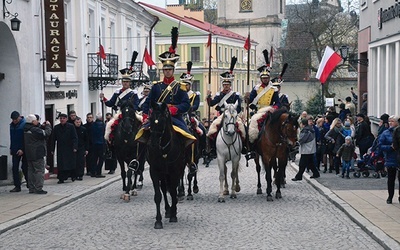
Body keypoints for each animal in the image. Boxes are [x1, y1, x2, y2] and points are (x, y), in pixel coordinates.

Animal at [147, 101, 189, 229]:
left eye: (162, 120)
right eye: (150, 119)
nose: (153, 143)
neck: (164, 149)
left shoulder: (175, 172)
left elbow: (174, 192)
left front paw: (174, 215)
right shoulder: (154, 172)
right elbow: (158, 196)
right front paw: (158, 221)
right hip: (164, 174)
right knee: (165, 189)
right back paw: (167, 210)